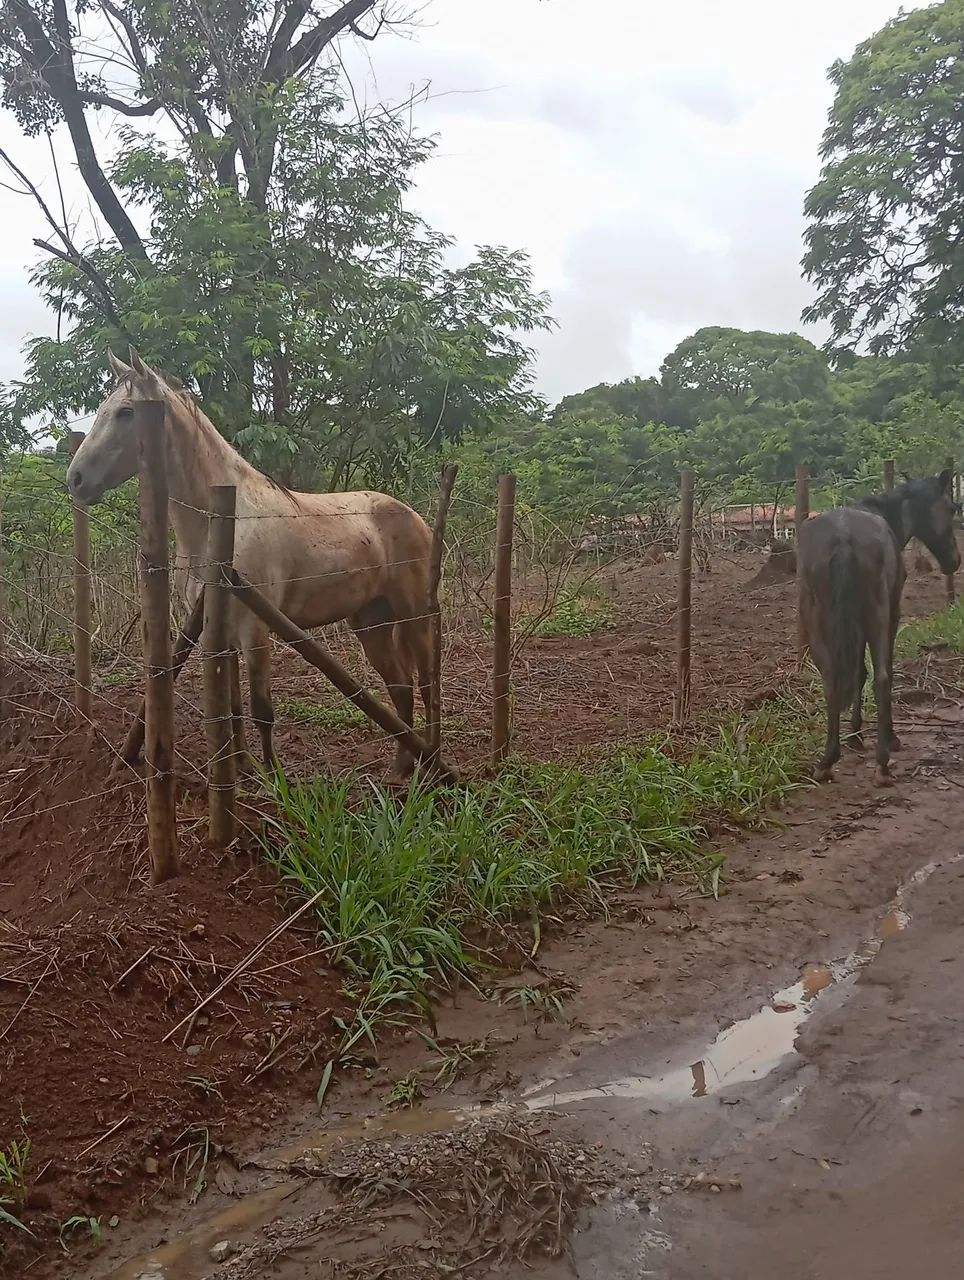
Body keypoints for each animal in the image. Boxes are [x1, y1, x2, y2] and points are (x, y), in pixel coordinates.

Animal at [67, 350, 437, 777]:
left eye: (126, 412)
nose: (76, 479)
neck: (225, 523)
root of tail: (414, 517)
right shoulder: (218, 627)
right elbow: (232, 705)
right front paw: (241, 766)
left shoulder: (254, 629)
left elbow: (262, 709)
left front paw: (273, 776)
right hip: (370, 620)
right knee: (401, 687)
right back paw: (401, 768)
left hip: (413, 615)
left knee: (426, 683)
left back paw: (432, 761)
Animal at [797, 469, 960, 787]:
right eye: (950, 508)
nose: (954, 561)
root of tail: (843, 538)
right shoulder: (892, 614)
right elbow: (881, 672)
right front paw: (886, 736)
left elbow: (857, 673)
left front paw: (855, 735)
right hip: (878, 615)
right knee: (882, 678)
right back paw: (882, 763)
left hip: (818, 620)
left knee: (832, 680)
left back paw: (827, 761)